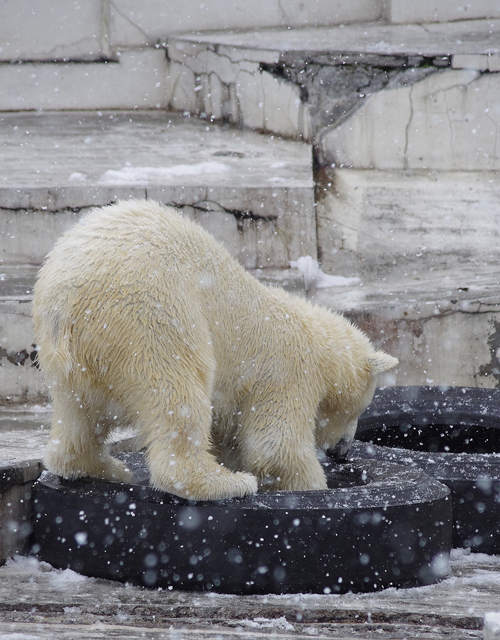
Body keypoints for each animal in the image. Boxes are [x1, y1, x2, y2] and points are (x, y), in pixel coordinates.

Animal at [32, 200, 398, 500]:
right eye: (357, 410)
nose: (342, 451)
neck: (315, 339)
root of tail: (65, 302)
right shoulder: (287, 372)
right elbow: (275, 447)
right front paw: (312, 485)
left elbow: (235, 439)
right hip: (148, 318)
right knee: (178, 394)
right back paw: (223, 483)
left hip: (71, 363)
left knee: (78, 416)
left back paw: (104, 468)